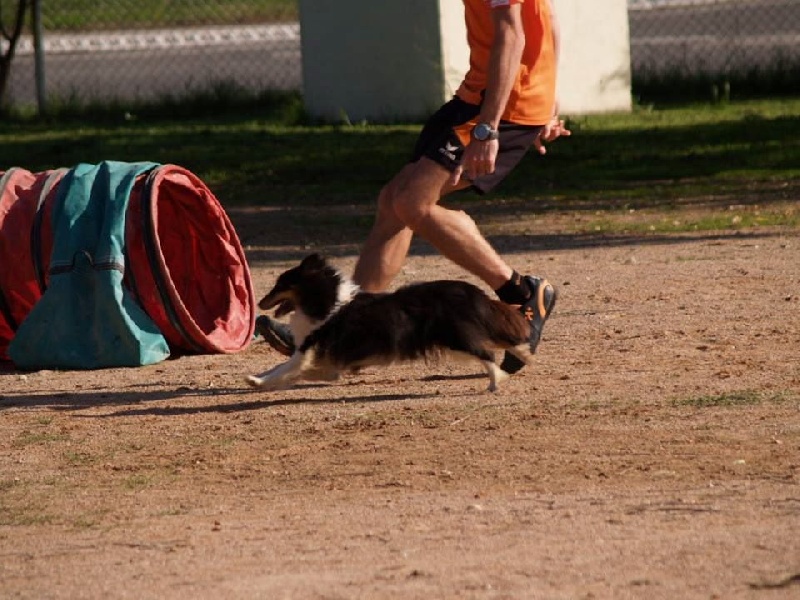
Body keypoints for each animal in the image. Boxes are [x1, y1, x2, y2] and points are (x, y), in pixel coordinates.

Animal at [244, 254, 532, 392]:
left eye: (280, 284)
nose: (259, 302)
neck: (327, 300)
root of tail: (471, 291)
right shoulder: (327, 360)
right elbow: (299, 371)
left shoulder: (307, 349)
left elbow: (283, 367)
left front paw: (255, 381)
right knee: (505, 341)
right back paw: (524, 356)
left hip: (456, 339)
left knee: (487, 354)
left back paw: (495, 383)